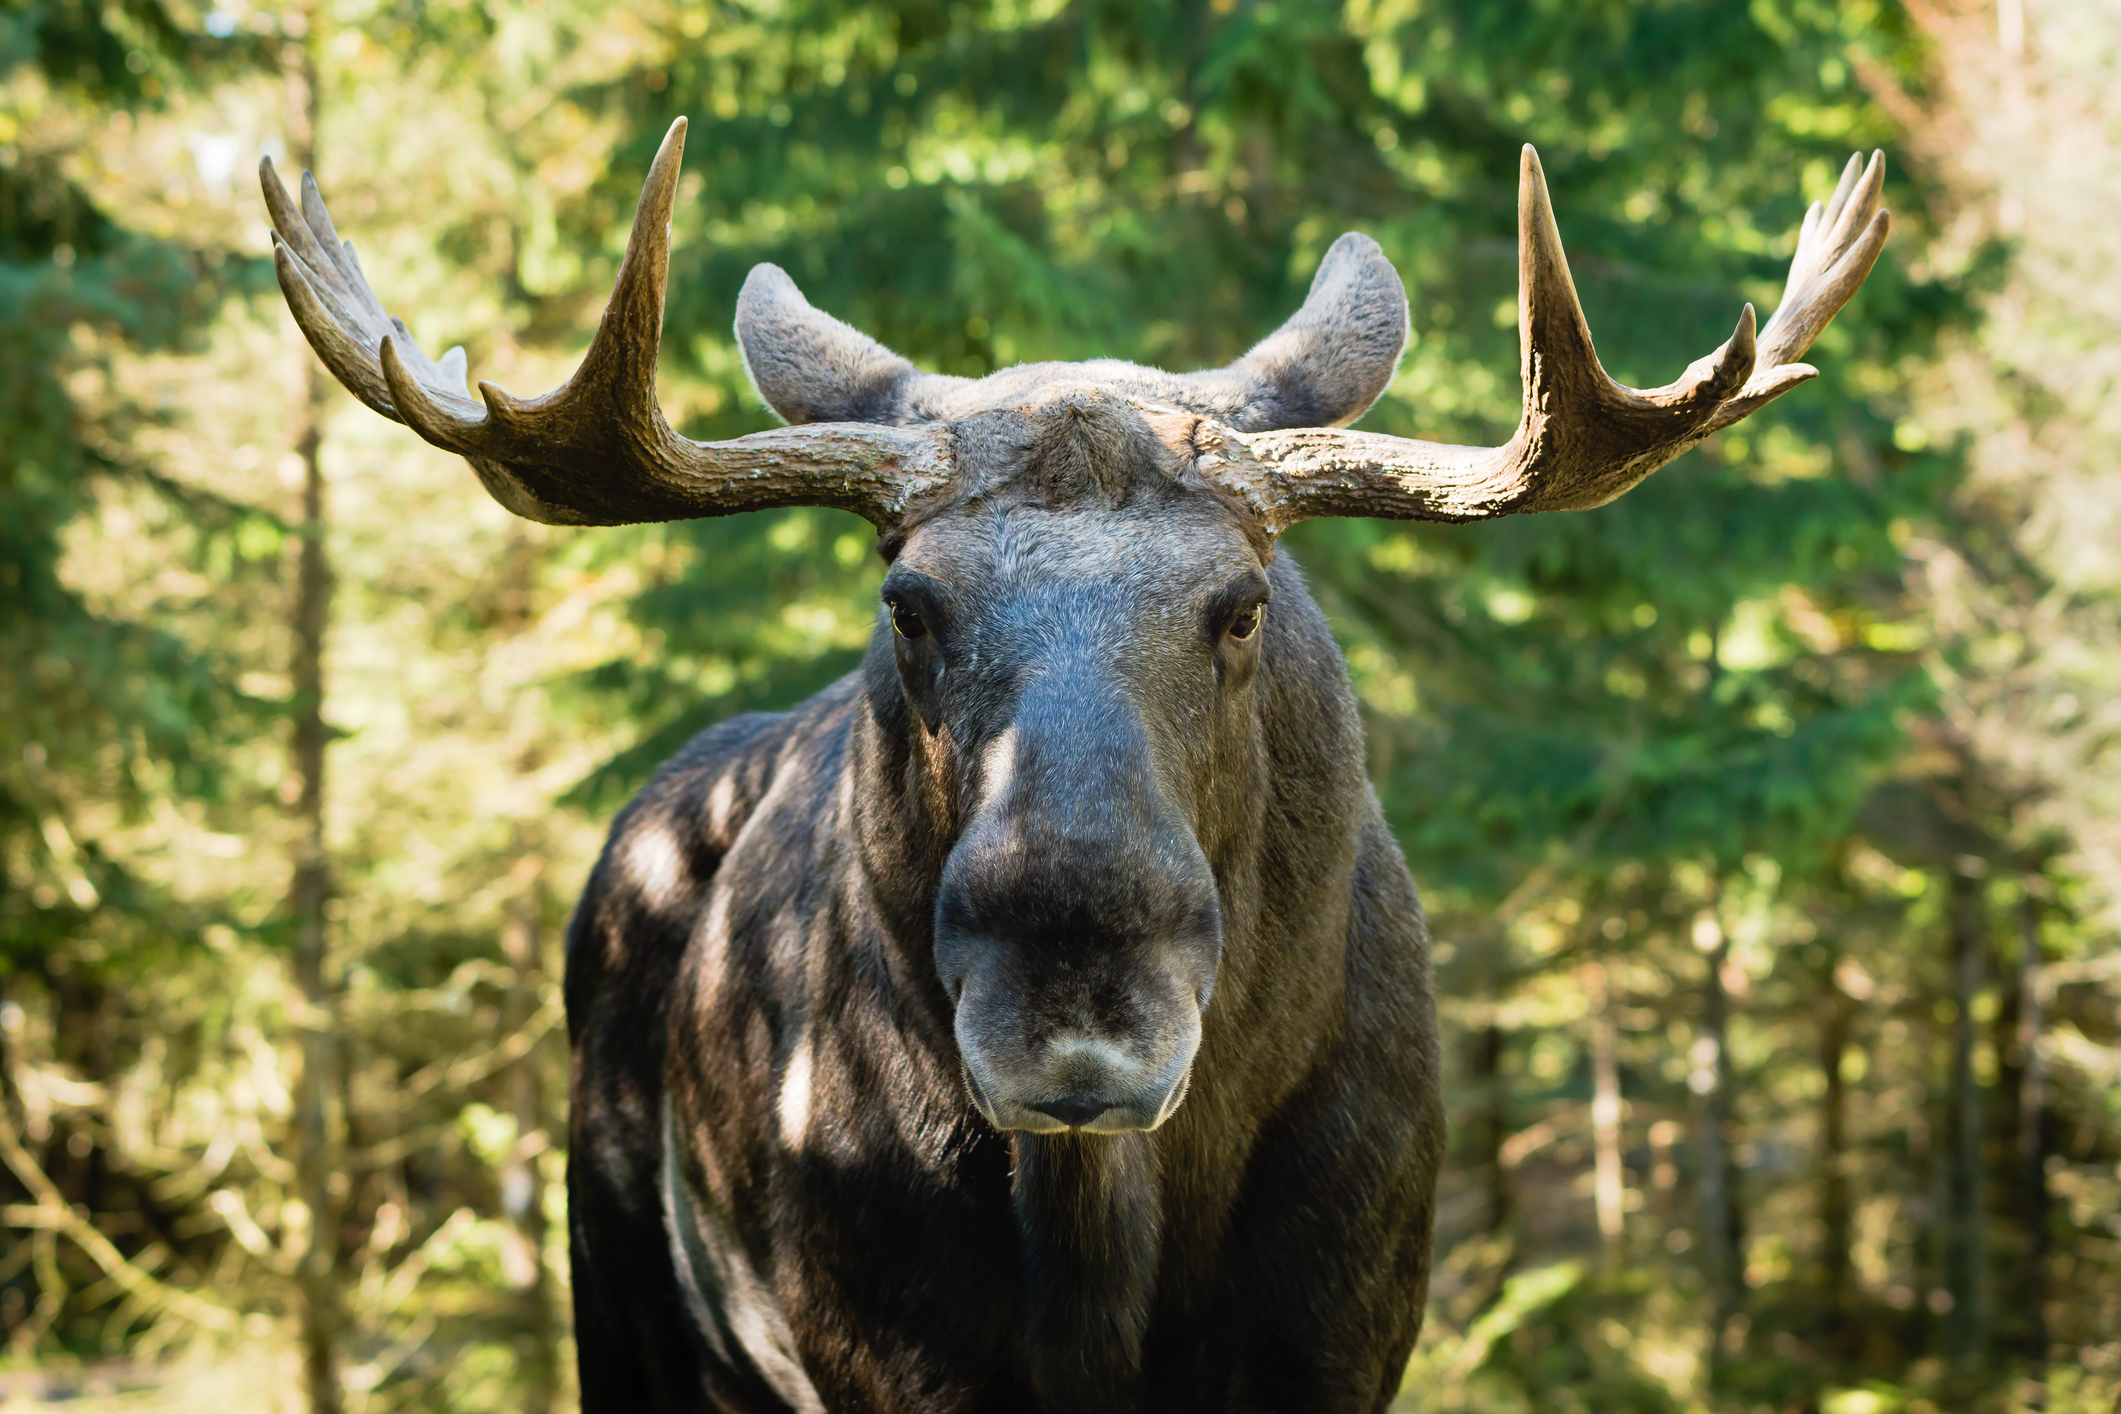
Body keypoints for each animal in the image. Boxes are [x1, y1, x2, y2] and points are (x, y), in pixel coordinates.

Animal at [260, 124, 1891, 1414]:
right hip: (625, 1297)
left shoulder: (1342, 1338)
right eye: (907, 604)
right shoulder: (888, 1355)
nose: (1075, 1010)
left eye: (1241, 605)